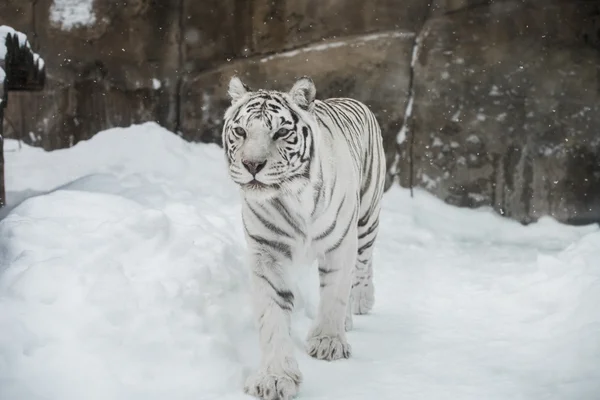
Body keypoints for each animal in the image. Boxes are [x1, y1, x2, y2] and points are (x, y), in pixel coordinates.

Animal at [223, 76, 386, 400]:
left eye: (281, 132)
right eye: (241, 131)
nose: (252, 165)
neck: (292, 196)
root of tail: (351, 99)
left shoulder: (341, 244)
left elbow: (335, 293)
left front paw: (328, 343)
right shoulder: (267, 252)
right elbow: (273, 314)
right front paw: (274, 378)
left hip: (366, 218)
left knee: (363, 265)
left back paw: (361, 302)